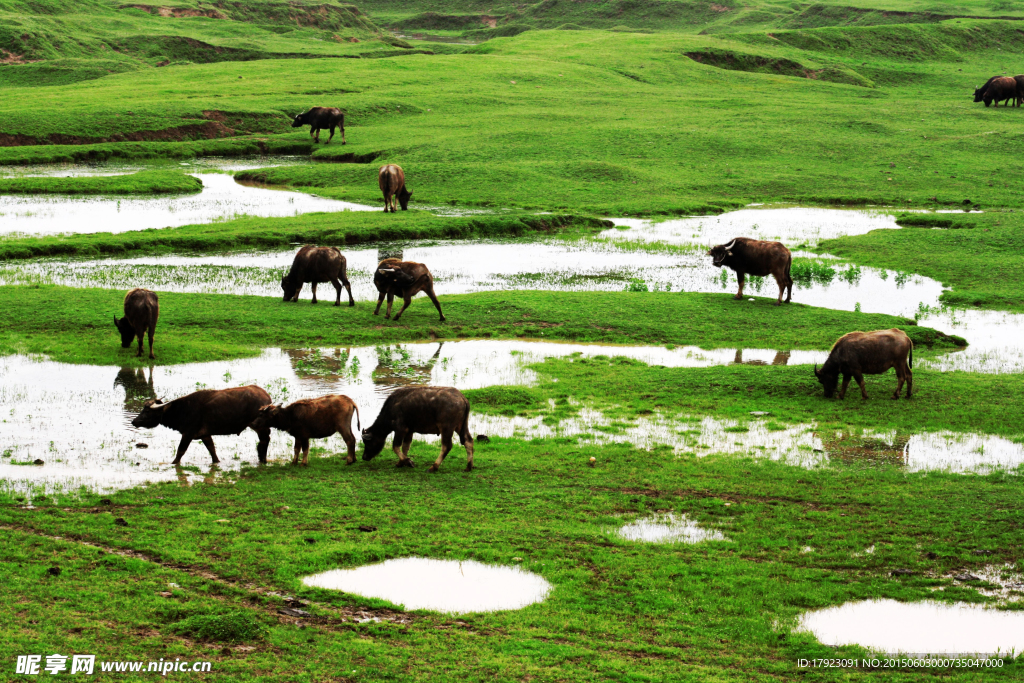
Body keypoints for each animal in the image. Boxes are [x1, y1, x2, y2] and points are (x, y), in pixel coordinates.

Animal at [131, 385, 272, 464]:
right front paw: (216, 462)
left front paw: (173, 463)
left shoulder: (187, 434)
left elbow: (180, 451)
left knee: (265, 440)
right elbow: (212, 449)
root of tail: (266, 396)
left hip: (260, 426)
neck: (182, 409)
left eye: (147, 411)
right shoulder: (205, 435)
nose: (134, 421)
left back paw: (263, 460)